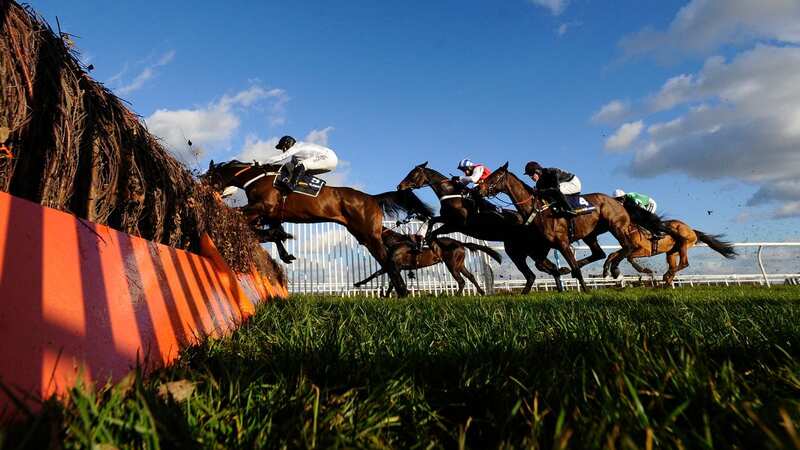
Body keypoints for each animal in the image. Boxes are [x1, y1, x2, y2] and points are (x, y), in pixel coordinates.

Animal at [203, 160, 434, 298]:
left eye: (208, 175)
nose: (201, 184)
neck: (255, 177)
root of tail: (372, 198)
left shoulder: (261, 207)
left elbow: (241, 216)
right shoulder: (266, 214)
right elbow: (271, 233)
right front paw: (285, 250)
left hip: (370, 235)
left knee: (388, 262)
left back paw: (402, 293)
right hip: (364, 234)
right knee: (389, 257)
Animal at [354, 229, 504, 296]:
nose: (360, 241)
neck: (397, 242)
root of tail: (460, 243)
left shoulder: (395, 265)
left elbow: (380, 275)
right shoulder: (396, 267)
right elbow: (383, 277)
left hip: (452, 265)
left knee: (461, 281)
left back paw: (455, 295)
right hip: (460, 264)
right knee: (470, 276)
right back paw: (481, 292)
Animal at [396, 162, 564, 292]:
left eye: (413, 174)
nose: (399, 186)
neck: (453, 195)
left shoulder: (456, 224)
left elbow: (434, 232)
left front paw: (432, 245)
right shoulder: (446, 219)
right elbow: (431, 221)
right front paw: (423, 240)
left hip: (525, 249)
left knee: (538, 270)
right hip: (522, 250)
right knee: (544, 267)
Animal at [476, 162, 668, 292]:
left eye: (493, 177)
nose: (478, 190)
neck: (538, 209)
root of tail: (618, 202)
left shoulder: (562, 242)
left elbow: (571, 265)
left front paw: (586, 289)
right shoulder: (546, 245)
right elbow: (543, 264)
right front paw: (564, 271)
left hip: (616, 226)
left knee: (627, 246)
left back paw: (614, 269)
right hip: (590, 235)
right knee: (600, 253)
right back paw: (605, 268)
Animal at [604, 216, 736, 286]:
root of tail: (692, 230)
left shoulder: (645, 250)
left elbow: (629, 257)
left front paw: (646, 270)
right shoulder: (627, 248)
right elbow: (612, 254)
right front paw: (607, 271)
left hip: (683, 244)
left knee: (684, 263)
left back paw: (666, 276)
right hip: (672, 252)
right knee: (674, 265)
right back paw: (666, 282)